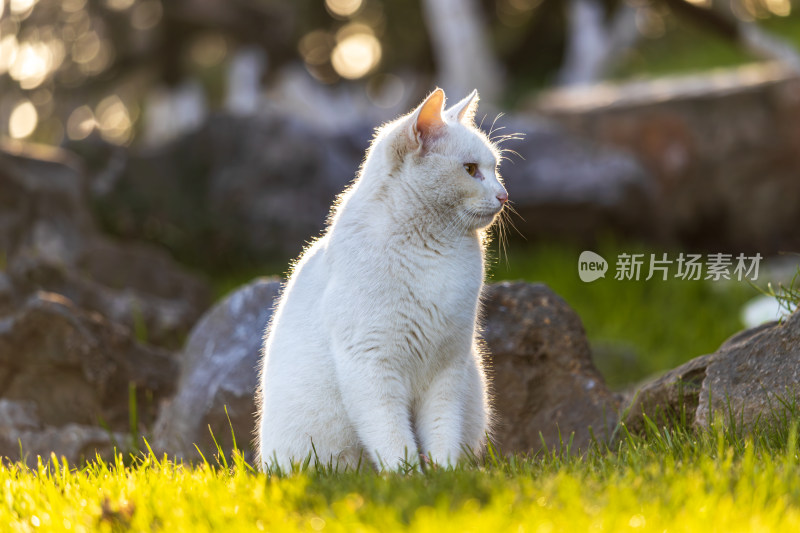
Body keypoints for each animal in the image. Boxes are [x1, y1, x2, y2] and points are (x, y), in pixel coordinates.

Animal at [256, 88, 506, 470]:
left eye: (494, 169)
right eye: (470, 170)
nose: (504, 195)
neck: (434, 250)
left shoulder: (448, 368)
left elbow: (442, 430)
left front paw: (445, 472)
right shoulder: (371, 365)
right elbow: (392, 437)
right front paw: (408, 475)